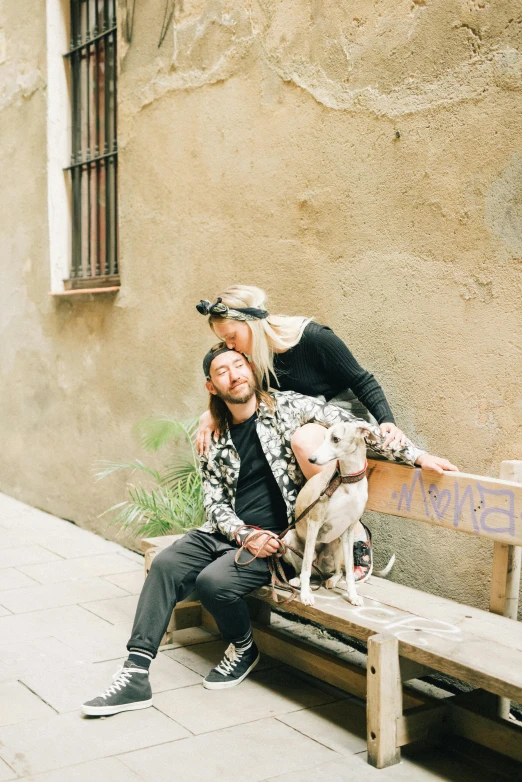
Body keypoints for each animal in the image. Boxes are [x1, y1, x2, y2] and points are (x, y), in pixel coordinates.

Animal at [280, 426, 374, 608]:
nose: (311, 459)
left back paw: (332, 580)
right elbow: (305, 569)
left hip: (338, 544)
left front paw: (353, 596)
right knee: (304, 568)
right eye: (323, 438)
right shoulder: (314, 522)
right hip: (288, 539)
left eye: (335, 439)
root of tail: (319, 569)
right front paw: (305, 595)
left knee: (339, 571)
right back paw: (297, 581)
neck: (346, 481)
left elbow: (349, 571)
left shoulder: (349, 529)